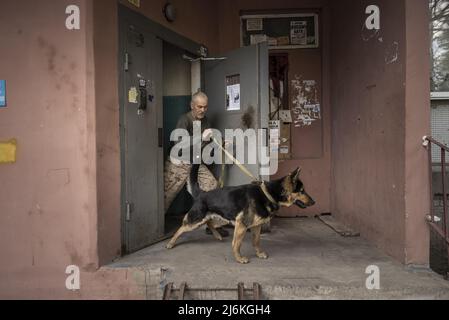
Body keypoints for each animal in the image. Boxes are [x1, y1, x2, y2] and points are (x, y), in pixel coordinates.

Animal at [164, 166, 316, 264]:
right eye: (302, 191)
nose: (314, 202)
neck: (268, 194)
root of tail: (202, 193)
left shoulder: (256, 226)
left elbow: (256, 241)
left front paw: (259, 253)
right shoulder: (241, 225)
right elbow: (236, 244)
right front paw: (239, 259)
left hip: (223, 218)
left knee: (210, 222)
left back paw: (217, 235)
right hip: (196, 220)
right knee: (181, 228)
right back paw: (170, 243)